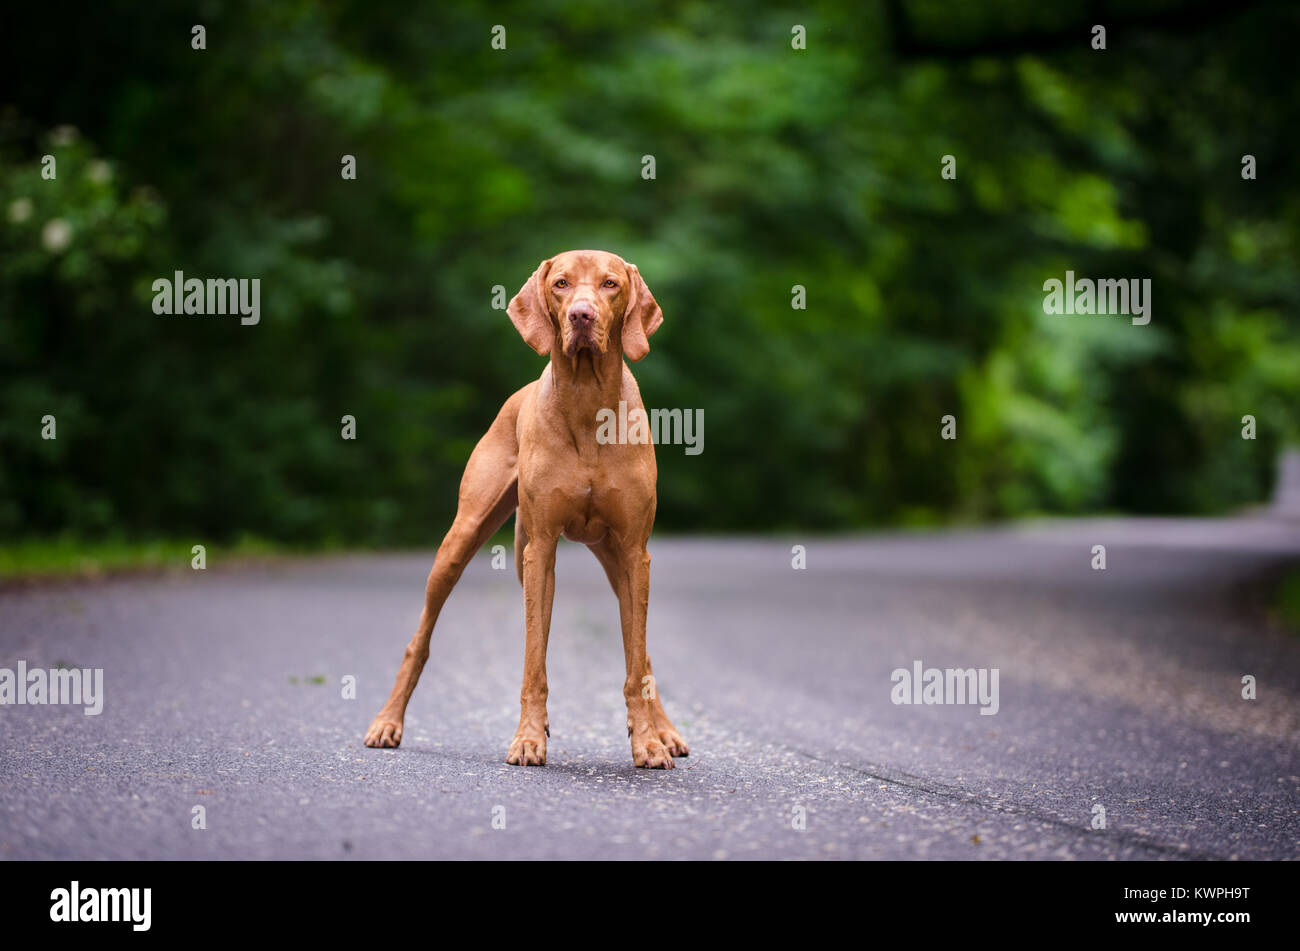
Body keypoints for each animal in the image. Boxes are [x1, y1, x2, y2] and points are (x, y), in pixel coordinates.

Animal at [366, 249, 691, 769]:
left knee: (641, 655)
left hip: (617, 560)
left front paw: (647, 741)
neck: (587, 401)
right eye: (561, 284)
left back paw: (666, 731)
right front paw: (528, 738)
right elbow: (534, 660)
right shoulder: (540, 551)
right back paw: (386, 722)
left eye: (610, 284)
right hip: (461, 542)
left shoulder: (635, 551)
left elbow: (634, 659)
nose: (582, 316)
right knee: (419, 640)